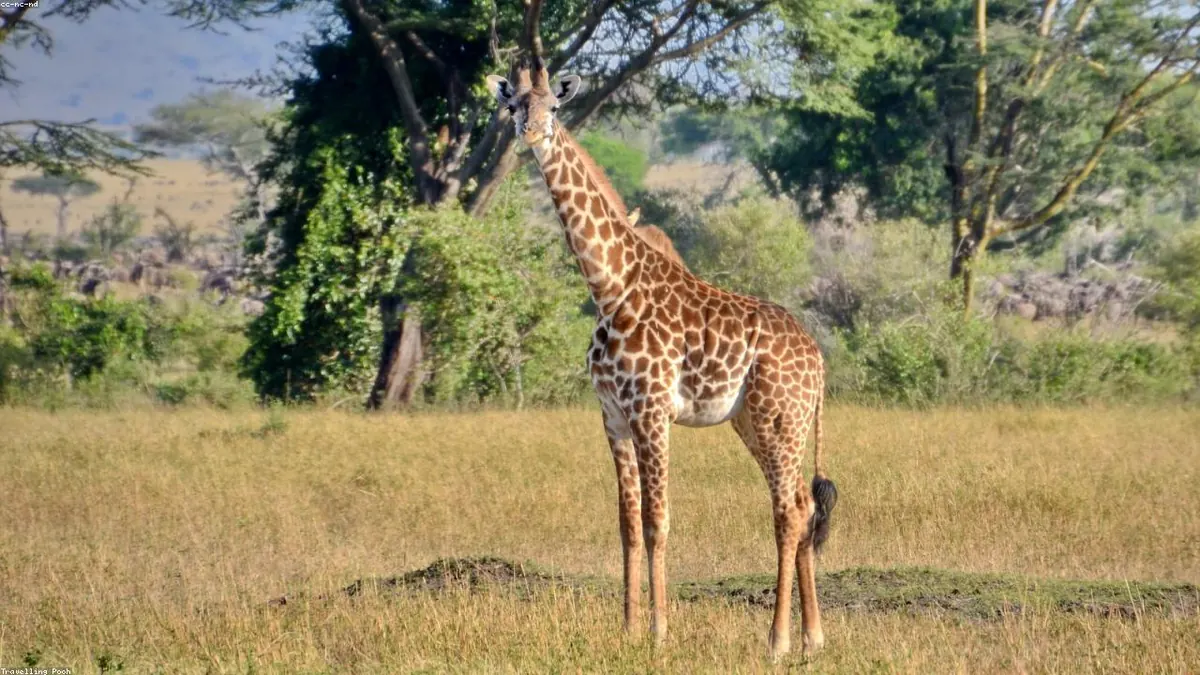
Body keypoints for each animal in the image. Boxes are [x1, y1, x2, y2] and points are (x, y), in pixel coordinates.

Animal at [485, 63, 838, 660]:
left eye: (553, 107)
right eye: (514, 106)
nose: (530, 134)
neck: (610, 288)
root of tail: (816, 360)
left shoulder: (652, 412)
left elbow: (658, 521)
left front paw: (659, 631)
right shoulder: (612, 414)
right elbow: (627, 522)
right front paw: (627, 629)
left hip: (779, 417)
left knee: (789, 510)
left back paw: (778, 640)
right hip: (756, 421)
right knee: (802, 504)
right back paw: (813, 638)